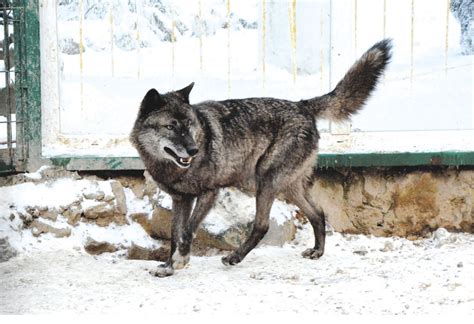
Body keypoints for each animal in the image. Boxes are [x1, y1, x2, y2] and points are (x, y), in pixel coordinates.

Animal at [130, 38, 392, 276]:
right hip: (289, 187)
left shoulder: (208, 193)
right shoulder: (180, 200)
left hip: (266, 181)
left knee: (262, 225)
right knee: (318, 213)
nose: (193, 150)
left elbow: (186, 233)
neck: (172, 167)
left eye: (189, 125)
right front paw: (168, 266)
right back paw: (317, 251)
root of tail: (302, 106)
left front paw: (179, 262)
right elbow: (175, 235)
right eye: (171, 127)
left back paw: (235, 257)